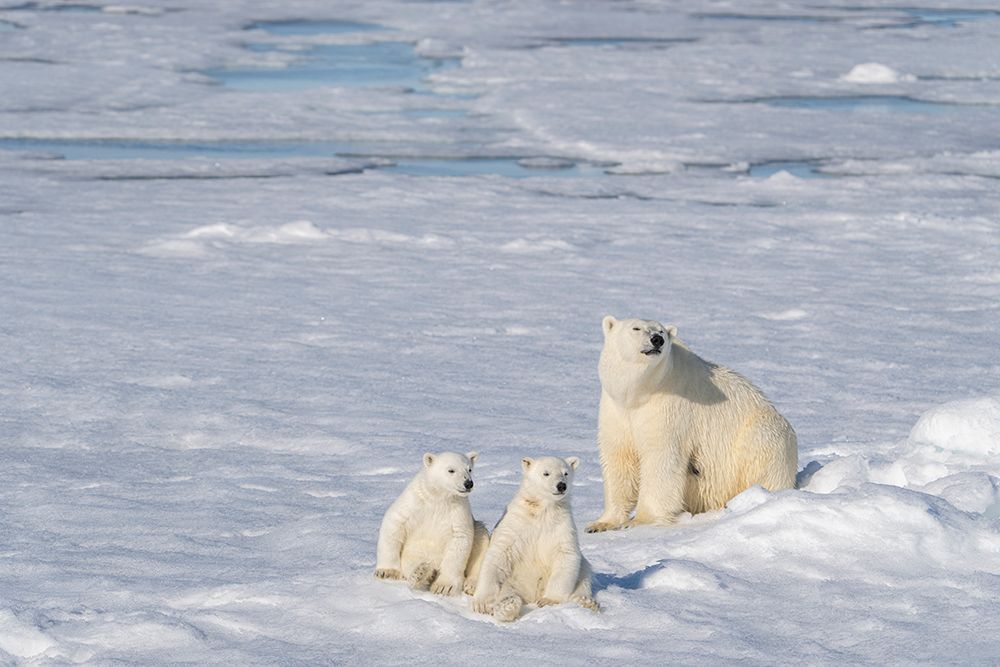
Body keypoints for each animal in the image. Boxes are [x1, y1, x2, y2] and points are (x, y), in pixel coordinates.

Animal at [375, 451, 490, 596]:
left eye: (469, 469)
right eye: (451, 470)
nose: (468, 483)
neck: (438, 497)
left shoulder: (458, 511)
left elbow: (460, 539)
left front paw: (444, 586)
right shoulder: (414, 502)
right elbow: (395, 522)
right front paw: (387, 572)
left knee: (481, 539)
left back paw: (472, 585)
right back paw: (422, 574)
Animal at [472, 455, 598, 622]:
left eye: (565, 473)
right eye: (546, 473)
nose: (561, 485)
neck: (541, 510)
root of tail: (530, 596)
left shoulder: (562, 526)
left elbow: (566, 555)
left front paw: (548, 600)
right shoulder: (516, 522)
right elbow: (499, 553)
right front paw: (482, 604)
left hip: (580, 573)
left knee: (584, 574)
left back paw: (586, 602)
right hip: (513, 582)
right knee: (508, 593)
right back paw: (507, 606)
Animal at [587, 316, 797, 533]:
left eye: (661, 331)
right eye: (636, 328)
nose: (657, 340)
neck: (640, 392)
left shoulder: (670, 408)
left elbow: (661, 457)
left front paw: (640, 521)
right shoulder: (616, 410)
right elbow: (619, 459)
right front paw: (601, 523)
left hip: (763, 437)